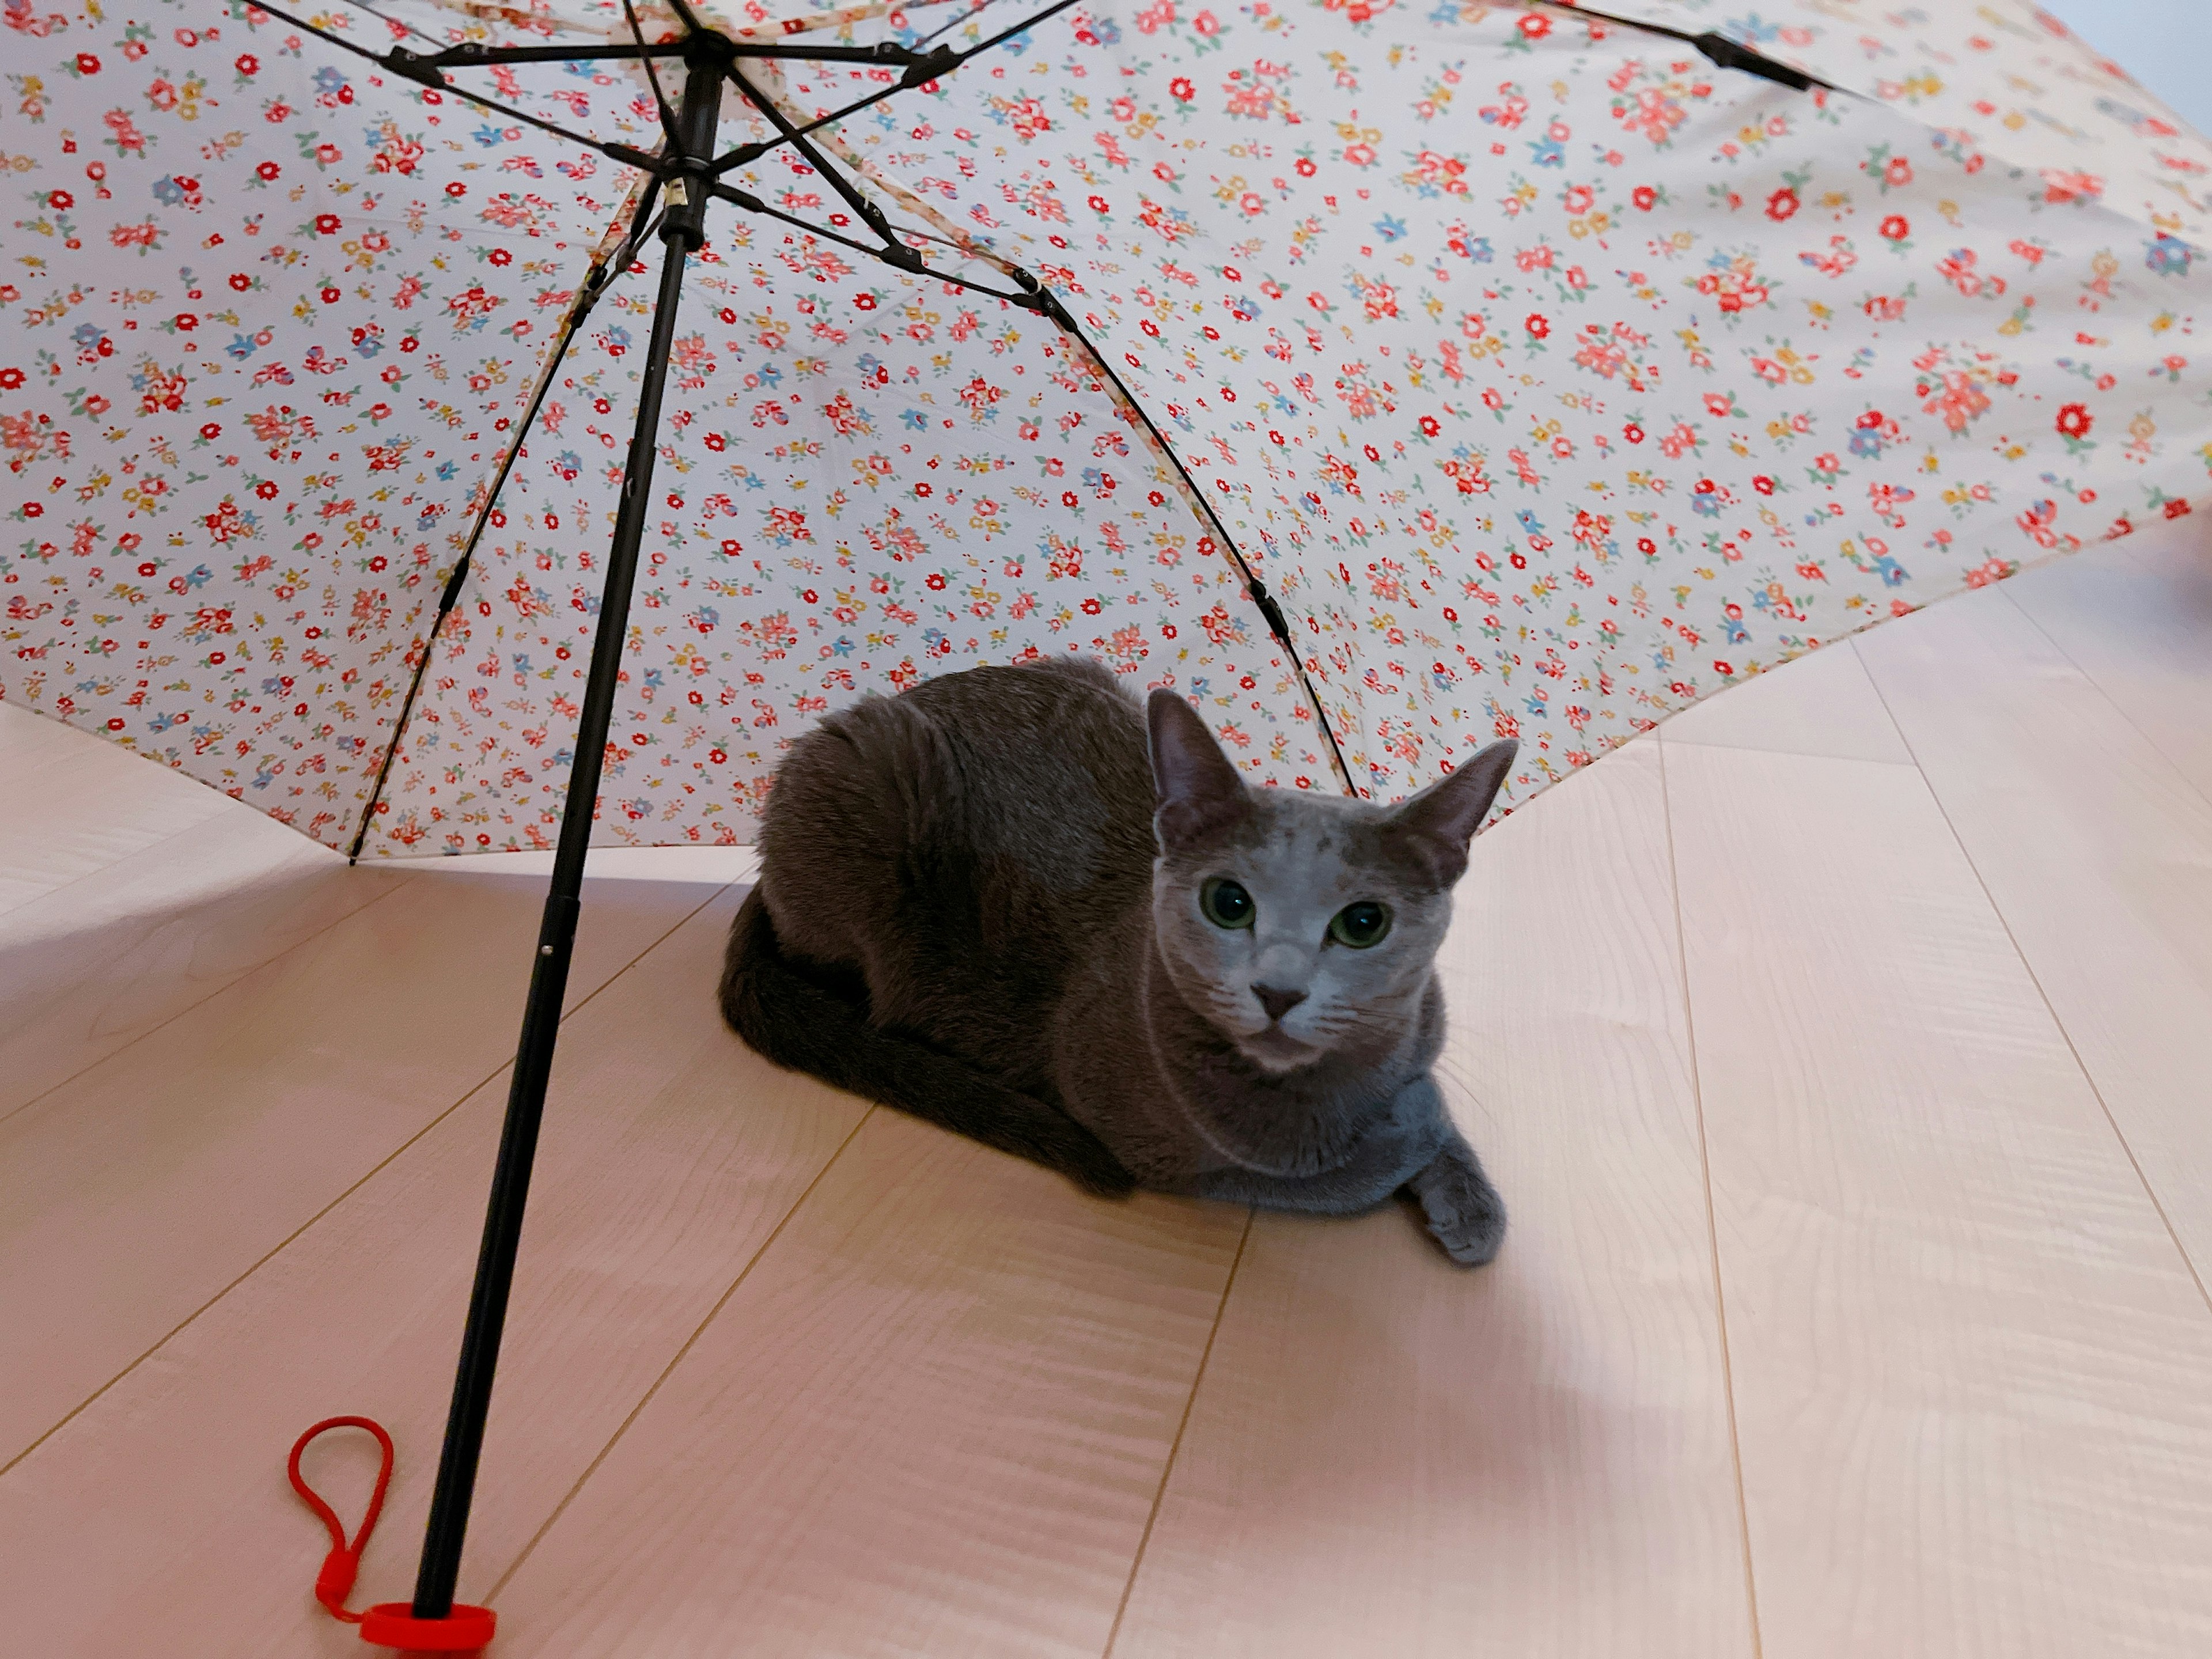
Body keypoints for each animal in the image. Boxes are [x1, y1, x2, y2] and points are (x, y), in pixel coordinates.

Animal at [725, 654, 1521, 1265]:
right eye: (1229, 903)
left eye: (1363, 924)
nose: (1278, 992)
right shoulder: (1137, 1139)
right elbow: (1325, 1178)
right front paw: (1408, 1141)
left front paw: (1466, 1198)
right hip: (871, 778)